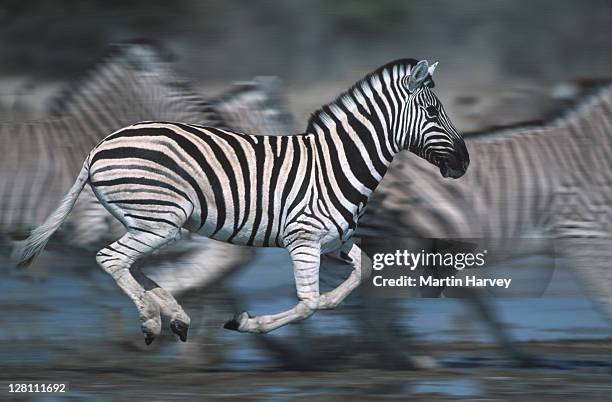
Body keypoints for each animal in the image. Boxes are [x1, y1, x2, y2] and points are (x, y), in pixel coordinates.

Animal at [17, 58, 468, 344]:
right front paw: (246, 323)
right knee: (112, 259)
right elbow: (307, 304)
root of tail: (100, 145)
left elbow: (359, 275)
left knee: (130, 263)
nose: (464, 163)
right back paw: (151, 321)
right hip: (160, 219)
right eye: (432, 112)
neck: (338, 162)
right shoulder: (303, 239)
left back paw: (173, 313)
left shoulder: (336, 241)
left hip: (152, 222)